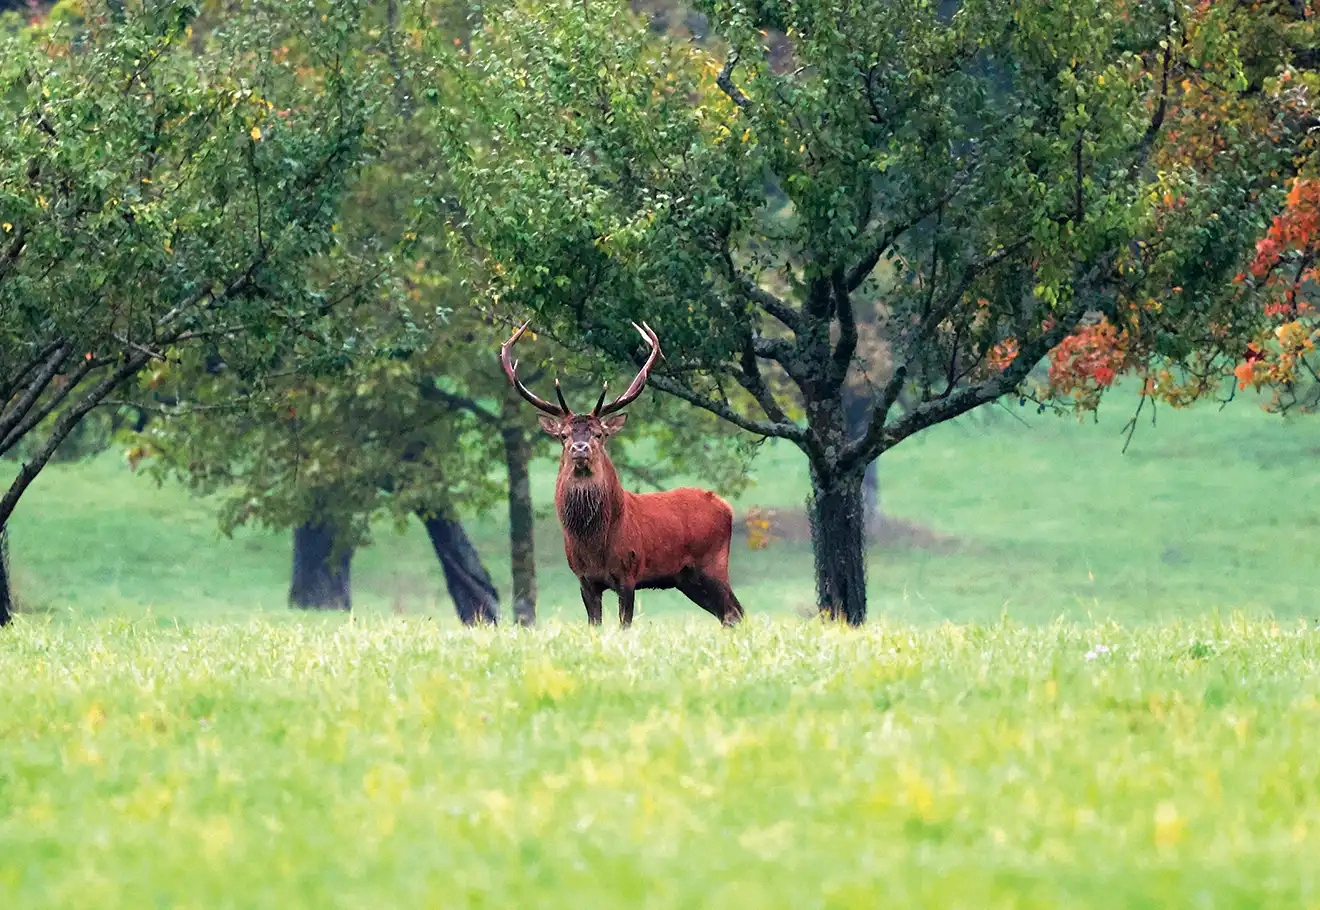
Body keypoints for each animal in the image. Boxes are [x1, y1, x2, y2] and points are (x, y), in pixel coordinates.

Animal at [500, 320, 745, 628]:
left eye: (599, 433)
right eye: (563, 435)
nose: (580, 448)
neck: (593, 545)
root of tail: (726, 507)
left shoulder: (629, 572)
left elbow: (624, 625)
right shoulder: (584, 580)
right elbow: (594, 625)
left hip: (712, 563)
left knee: (735, 611)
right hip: (687, 578)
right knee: (730, 613)